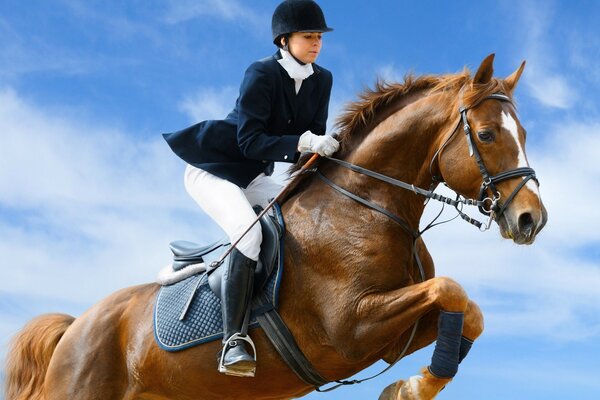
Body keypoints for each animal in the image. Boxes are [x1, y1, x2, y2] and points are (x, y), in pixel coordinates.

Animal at [5, 54, 548, 400]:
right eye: (486, 135)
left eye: (523, 133)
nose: (532, 220)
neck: (368, 205)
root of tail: (76, 326)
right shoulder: (351, 327)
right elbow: (451, 290)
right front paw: (410, 389)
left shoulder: (398, 331)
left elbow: (467, 311)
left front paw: (410, 387)